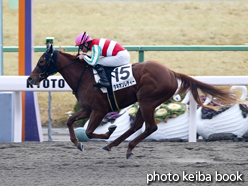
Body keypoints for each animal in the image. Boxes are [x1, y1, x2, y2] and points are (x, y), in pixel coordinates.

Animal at [28, 45, 239, 158]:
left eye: (42, 60)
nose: (30, 79)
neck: (85, 77)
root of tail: (171, 72)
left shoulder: (99, 110)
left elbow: (88, 131)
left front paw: (108, 131)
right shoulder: (87, 109)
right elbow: (71, 121)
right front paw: (77, 143)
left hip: (147, 100)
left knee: (150, 127)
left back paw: (123, 146)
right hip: (145, 102)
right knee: (137, 125)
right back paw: (115, 145)